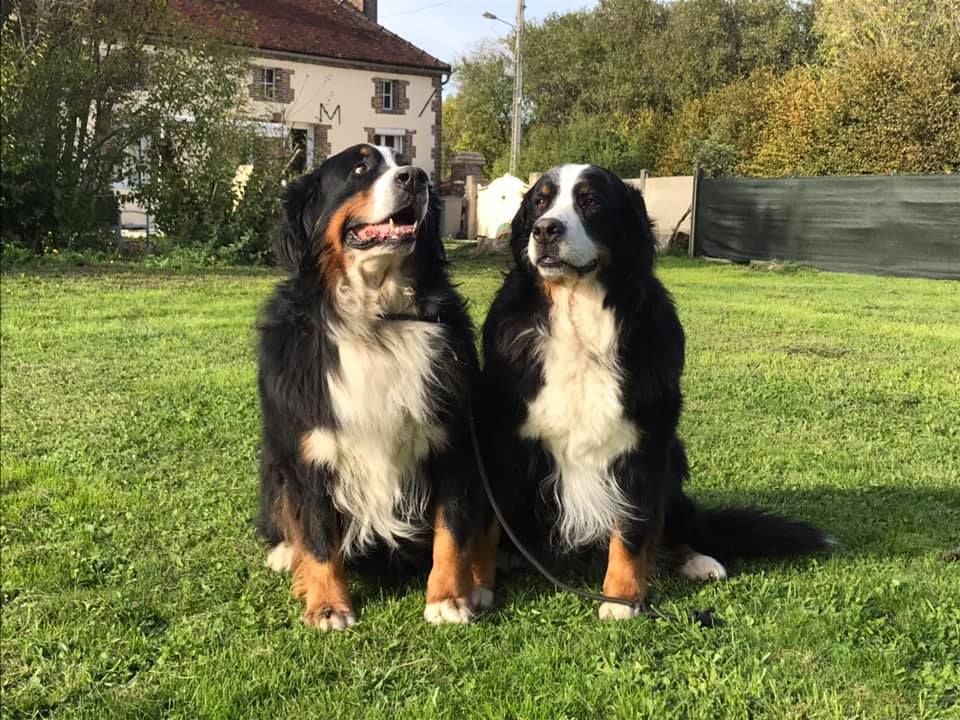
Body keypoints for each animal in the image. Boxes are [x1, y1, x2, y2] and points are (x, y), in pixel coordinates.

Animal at [255, 145, 496, 632]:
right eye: (360, 168)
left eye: (403, 162)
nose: (416, 178)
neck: (377, 321)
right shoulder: (310, 453)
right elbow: (317, 536)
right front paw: (328, 606)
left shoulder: (455, 445)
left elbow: (453, 530)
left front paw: (447, 598)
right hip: (274, 461)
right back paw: (285, 553)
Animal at [480, 165, 832, 620]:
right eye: (540, 202)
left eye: (590, 201)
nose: (545, 230)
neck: (579, 319)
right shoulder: (503, 441)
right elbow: (488, 526)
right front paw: (477, 584)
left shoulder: (643, 446)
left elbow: (631, 530)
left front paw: (620, 598)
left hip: (674, 458)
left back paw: (698, 560)